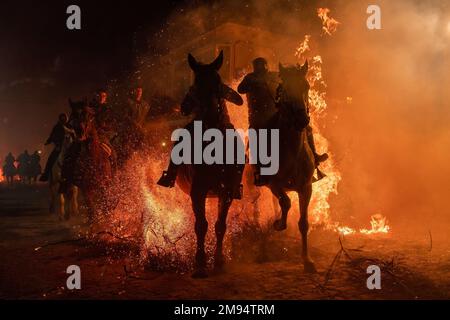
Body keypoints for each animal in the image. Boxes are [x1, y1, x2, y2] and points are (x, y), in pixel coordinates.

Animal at [172, 52, 244, 278]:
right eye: (195, 83)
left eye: (217, 83)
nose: (184, 106)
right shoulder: (197, 191)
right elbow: (201, 225)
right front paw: (200, 262)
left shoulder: (226, 191)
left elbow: (220, 225)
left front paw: (219, 260)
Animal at [262, 60, 318, 272]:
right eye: (285, 89)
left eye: (306, 86)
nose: (302, 120)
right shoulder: (273, 184)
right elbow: (286, 202)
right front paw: (279, 224)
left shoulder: (306, 188)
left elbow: (303, 223)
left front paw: (307, 260)